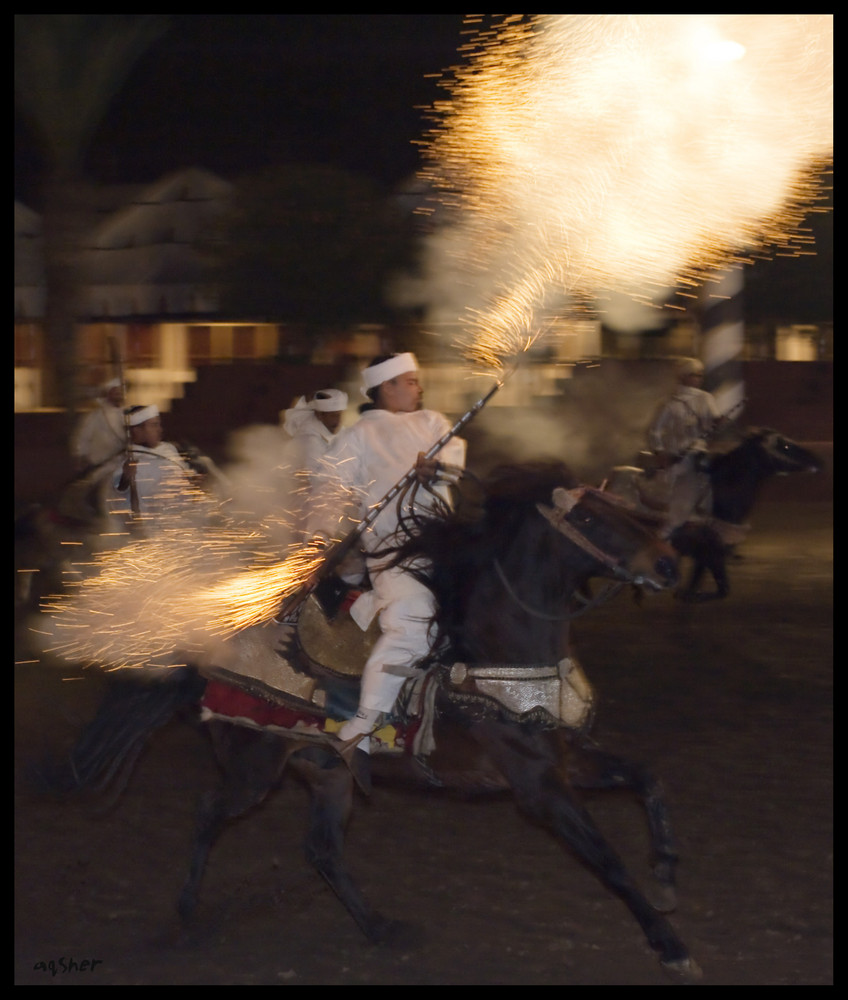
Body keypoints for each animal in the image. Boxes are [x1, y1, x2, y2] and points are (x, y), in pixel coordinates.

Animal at [41, 464, 704, 980]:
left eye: (628, 508)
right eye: (591, 521)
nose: (669, 563)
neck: (494, 650)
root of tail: (212, 649)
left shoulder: (565, 758)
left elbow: (648, 779)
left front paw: (668, 877)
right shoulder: (537, 785)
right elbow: (607, 859)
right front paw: (671, 946)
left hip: (325, 771)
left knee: (322, 849)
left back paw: (379, 926)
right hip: (255, 767)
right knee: (210, 814)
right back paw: (185, 915)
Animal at [608, 430, 824, 600]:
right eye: (786, 446)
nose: (818, 461)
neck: (722, 492)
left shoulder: (706, 557)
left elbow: (702, 587)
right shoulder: (710, 553)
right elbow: (717, 590)